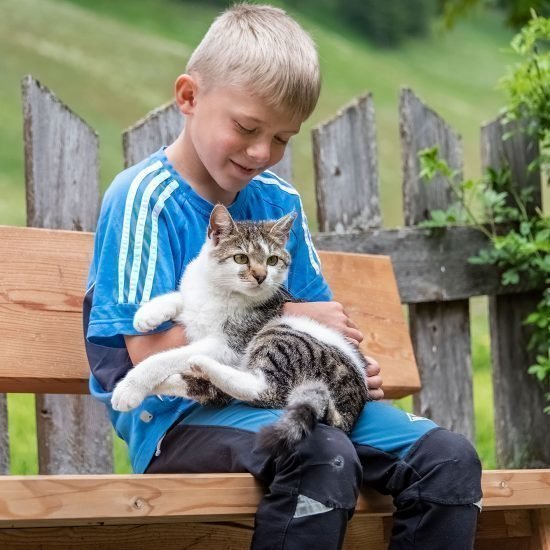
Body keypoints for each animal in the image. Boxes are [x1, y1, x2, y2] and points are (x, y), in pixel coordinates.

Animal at [111, 205, 370, 454]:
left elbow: (164, 357)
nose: (261, 276)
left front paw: (130, 386)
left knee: (264, 389)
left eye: (272, 260)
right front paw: (147, 314)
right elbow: (183, 298)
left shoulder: (230, 344)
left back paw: (201, 364)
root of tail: (348, 414)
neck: (221, 292)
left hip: (284, 332)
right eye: (240, 258)